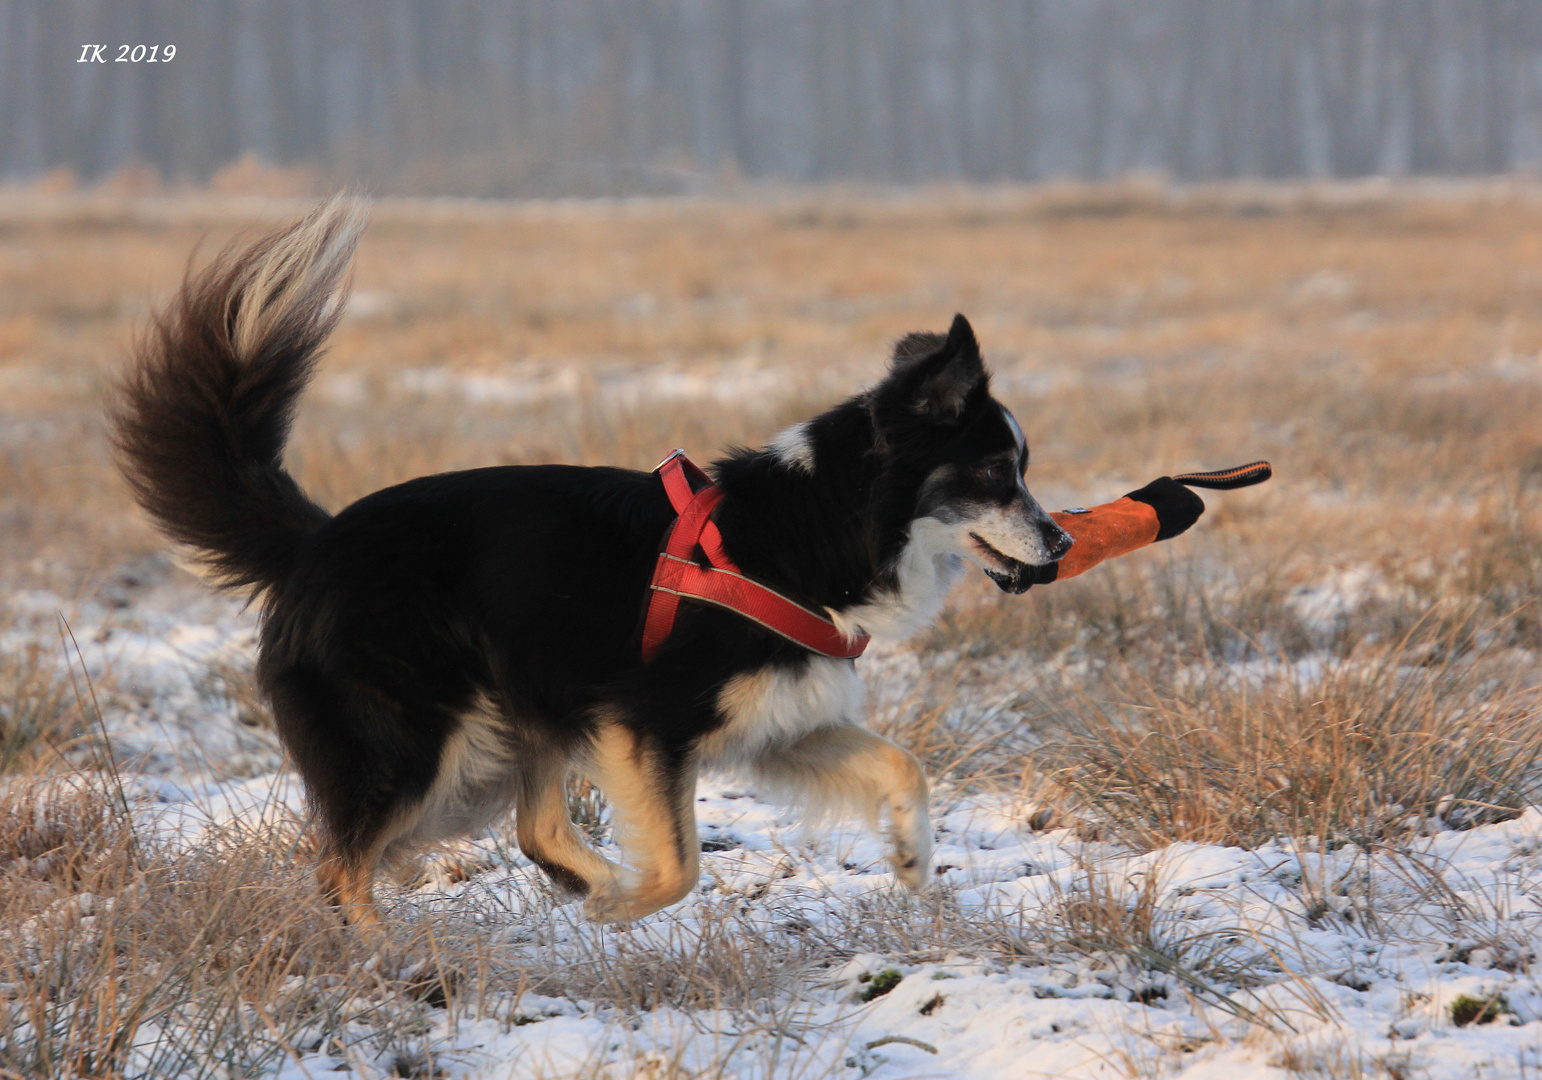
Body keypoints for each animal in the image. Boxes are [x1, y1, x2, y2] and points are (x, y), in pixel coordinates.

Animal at [114, 202, 1073, 925]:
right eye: (998, 474)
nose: (1063, 542)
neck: (815, 527)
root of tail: (316, 541)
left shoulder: (778, 721)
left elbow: (902, 764)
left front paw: (912, 860)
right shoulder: (648, 716)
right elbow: (682, 866)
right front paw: (624, 908)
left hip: (521, 701)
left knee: (527, 829)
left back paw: (582, 883)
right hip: (425, 734)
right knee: (343, 862)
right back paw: (393, 960)